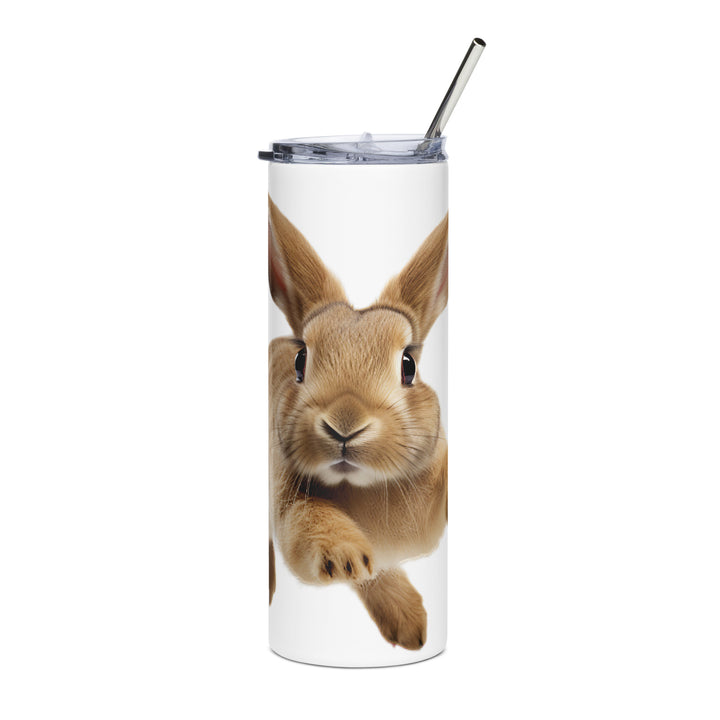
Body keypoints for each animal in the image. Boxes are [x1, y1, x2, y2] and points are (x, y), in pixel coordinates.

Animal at [268, 196, 448, 650]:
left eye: (408, 366)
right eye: (301, 362)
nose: (344, 425)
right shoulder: (287, 500)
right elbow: (315, 527)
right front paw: (348, 558)